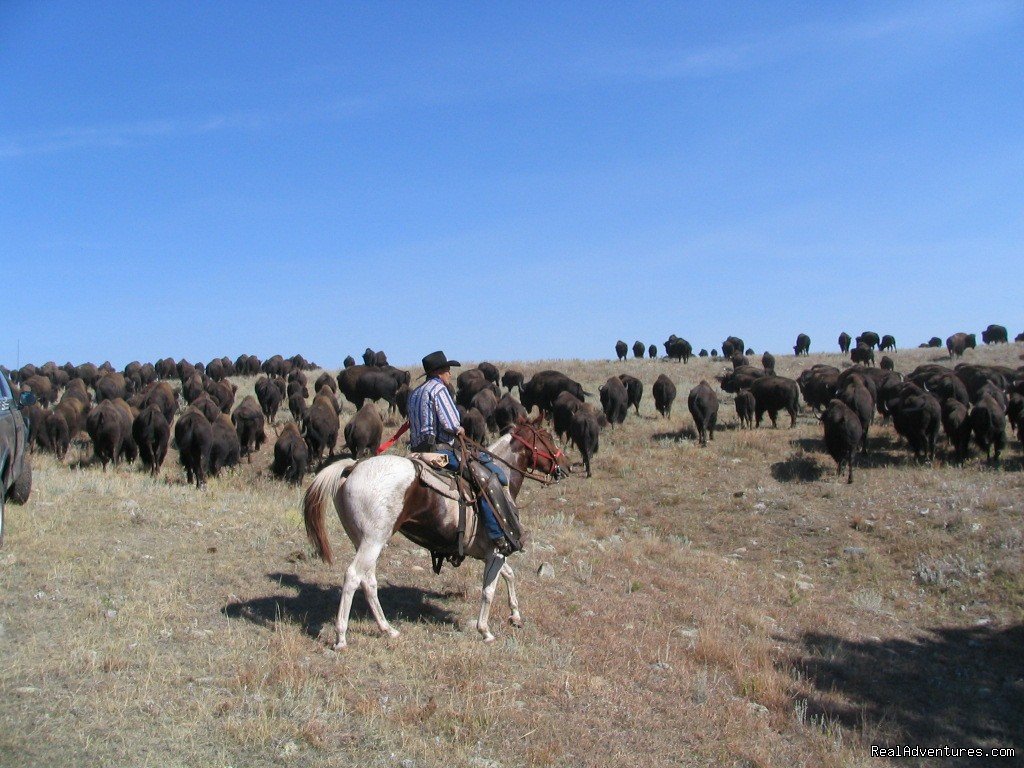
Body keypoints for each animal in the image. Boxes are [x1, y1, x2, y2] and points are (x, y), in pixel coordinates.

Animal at [301, 421, 569, 651]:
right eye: (547, 438)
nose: (566, 467)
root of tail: (353, 466)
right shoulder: (497, 551)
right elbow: (489, 591)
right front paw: (485, 631)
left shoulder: (490, 553)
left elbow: (509, 575)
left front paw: (515, 615)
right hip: (372, 541)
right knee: (353, 577)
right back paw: (341, 637)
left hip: (365, 541)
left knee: (368, 580)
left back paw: (387, 629)